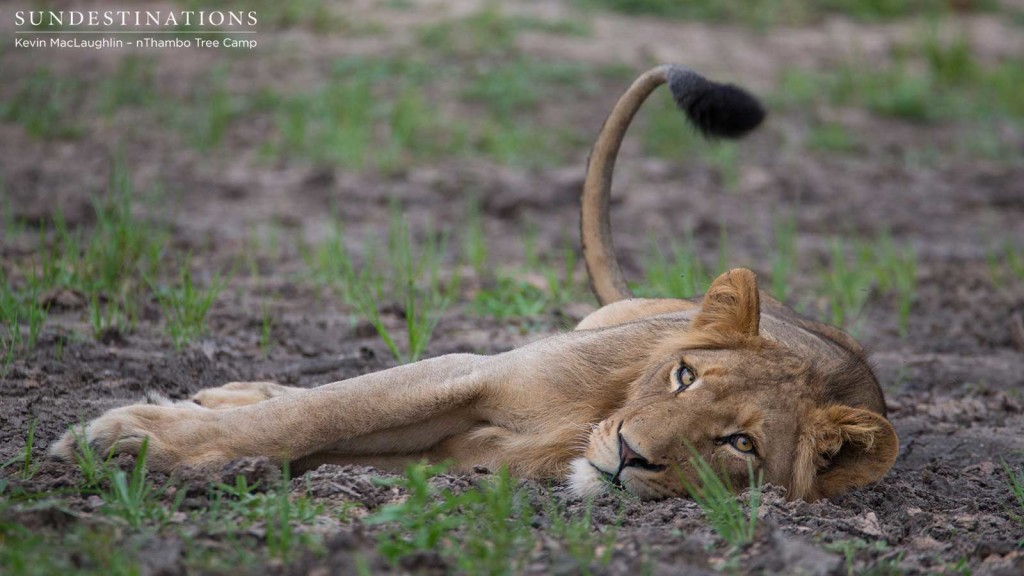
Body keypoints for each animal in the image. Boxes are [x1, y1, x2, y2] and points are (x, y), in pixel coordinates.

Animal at [48, 65, 897, 500]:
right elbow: (319, 411)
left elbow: (320, 435)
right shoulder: (475, 376)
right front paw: (129, 435)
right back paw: (221, 393)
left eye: (741, 444)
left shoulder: (466, 454)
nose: (629, 454)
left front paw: (159, 444)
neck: (591, 419)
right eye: (684, 376)